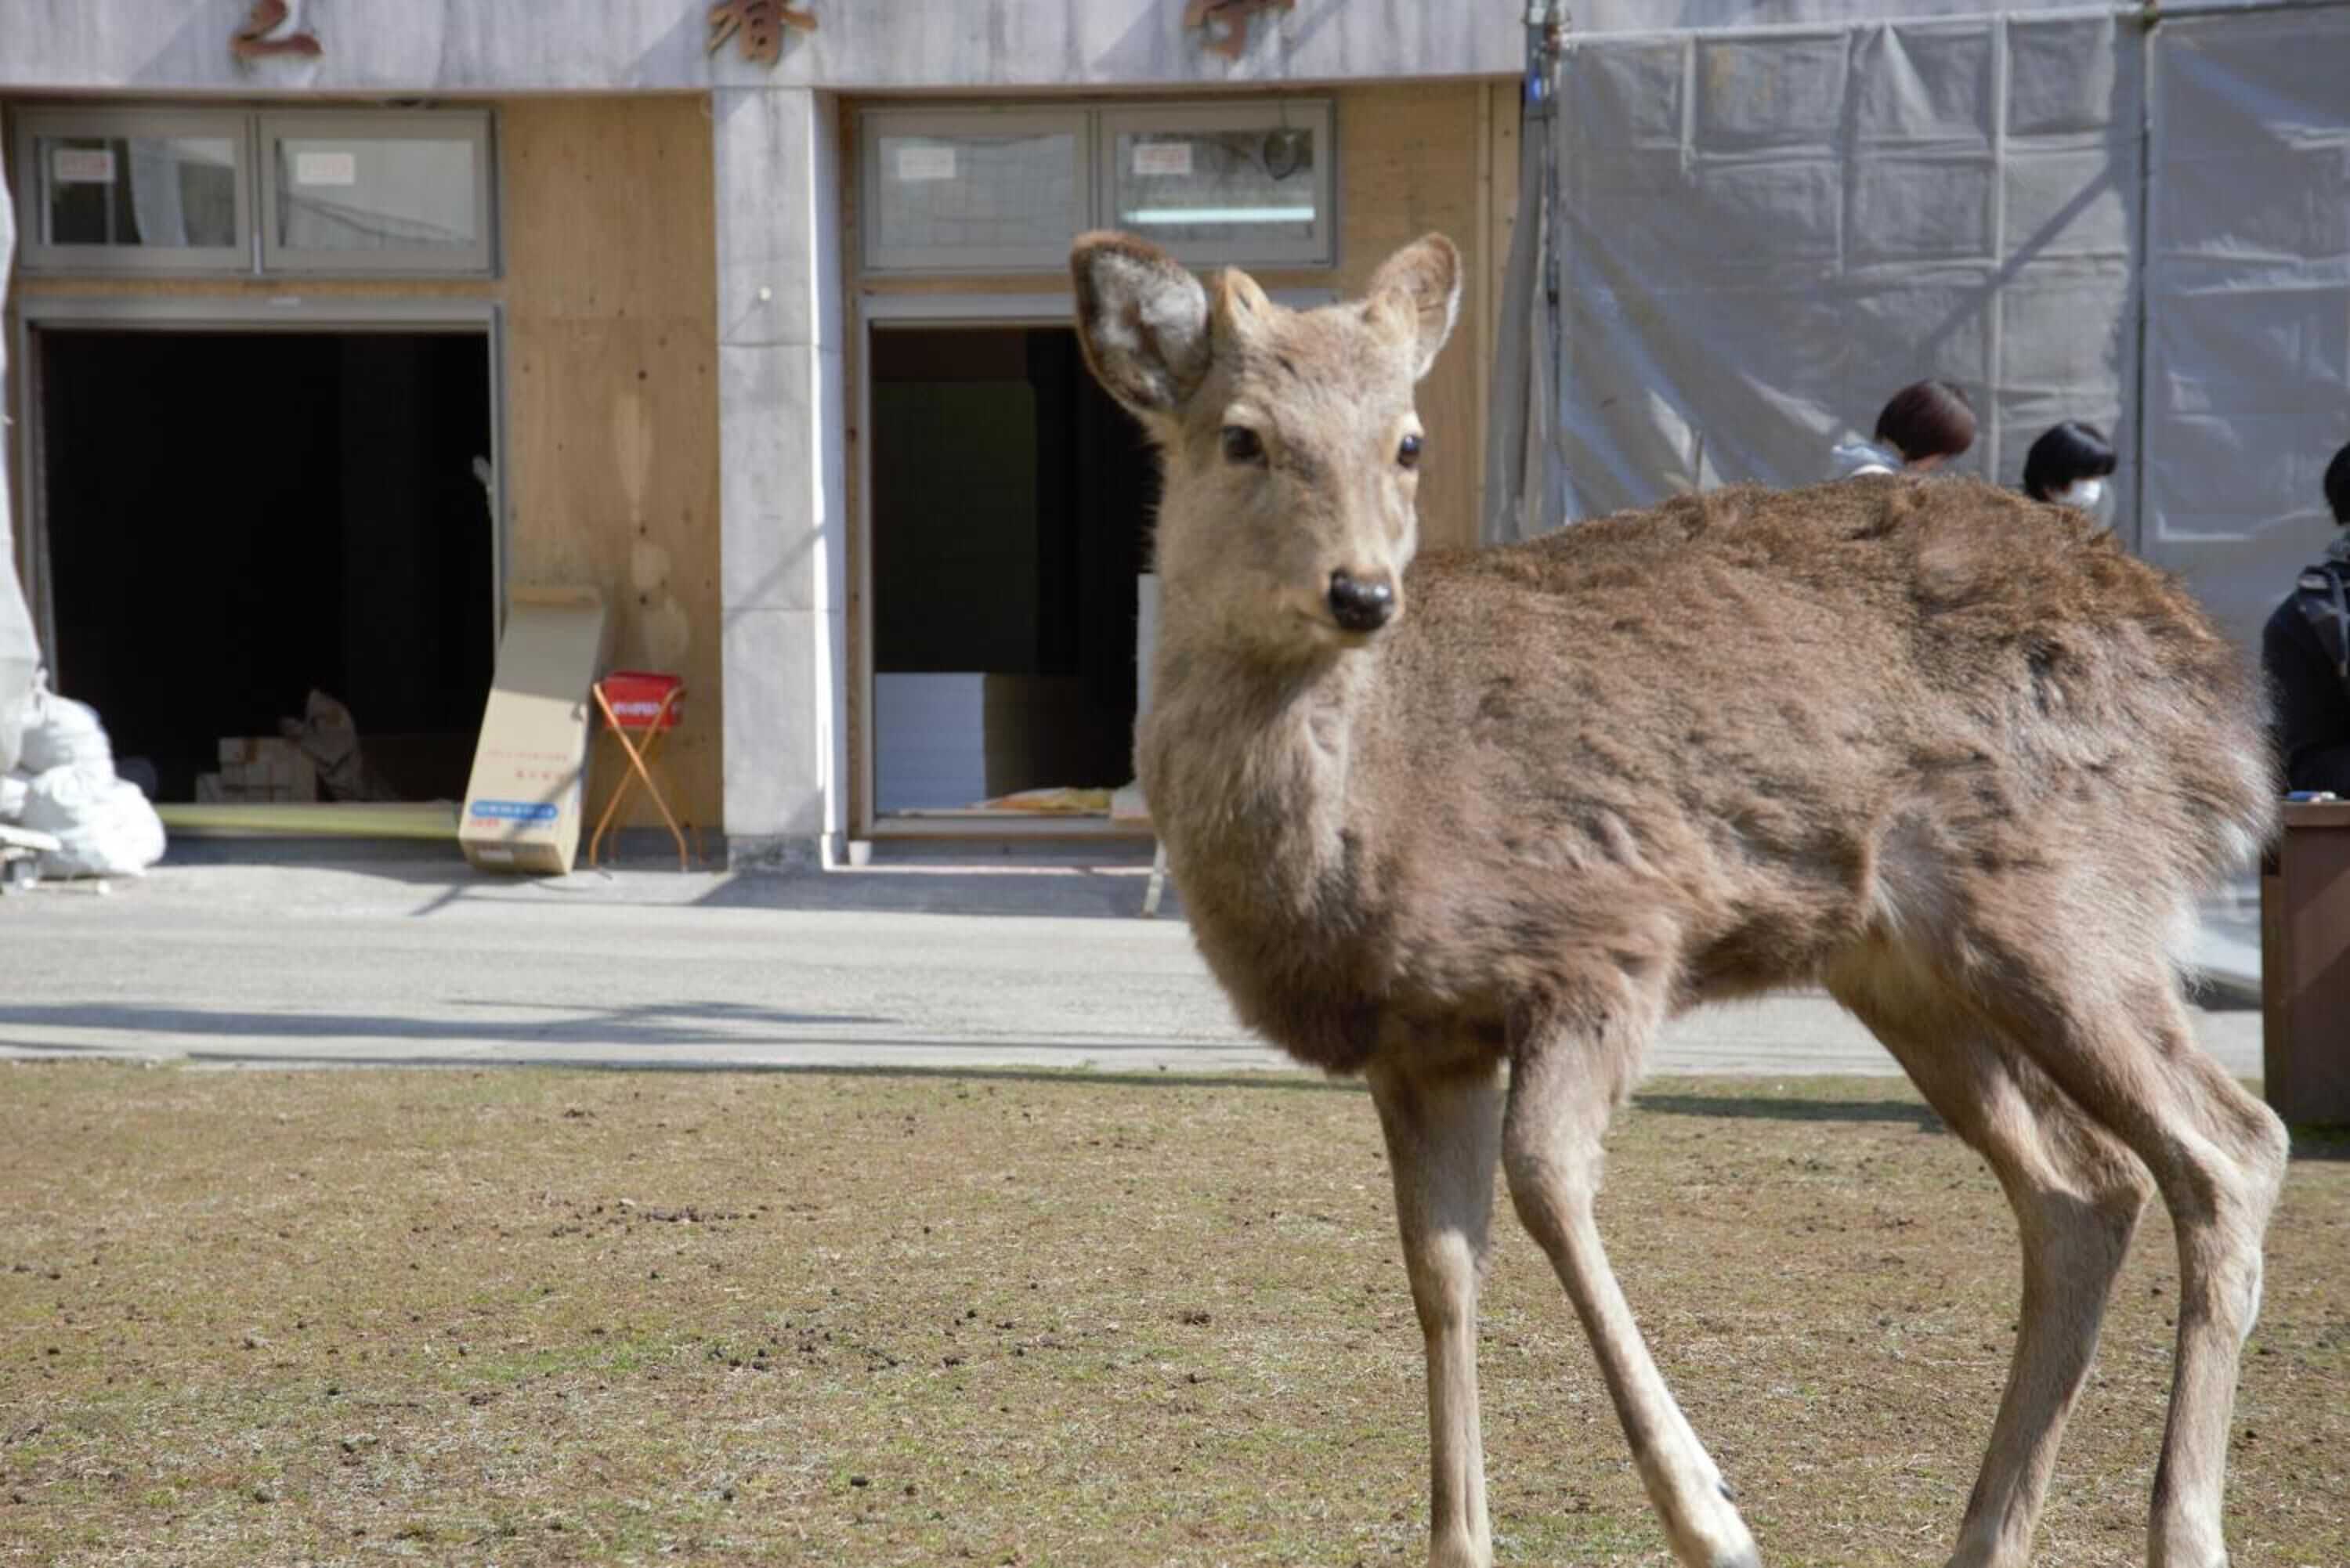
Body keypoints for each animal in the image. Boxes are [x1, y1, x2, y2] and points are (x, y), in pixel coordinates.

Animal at [1069, 229, 2289, 1568]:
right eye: (1240, 435)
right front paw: (1462, 1538)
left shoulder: (1607, 943)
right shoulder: (1421, 1039)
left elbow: (1549, 1185)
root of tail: (2226, 707)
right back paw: (1987, 1534)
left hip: (2068, 900)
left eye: (1408, 440)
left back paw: (2184, 1529)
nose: (1362, 593)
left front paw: (1712, 1513)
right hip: (1915, 971)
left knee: (2232, 1145)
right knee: (2084, 1188)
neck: (1372, 824)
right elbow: (1441, 1270)